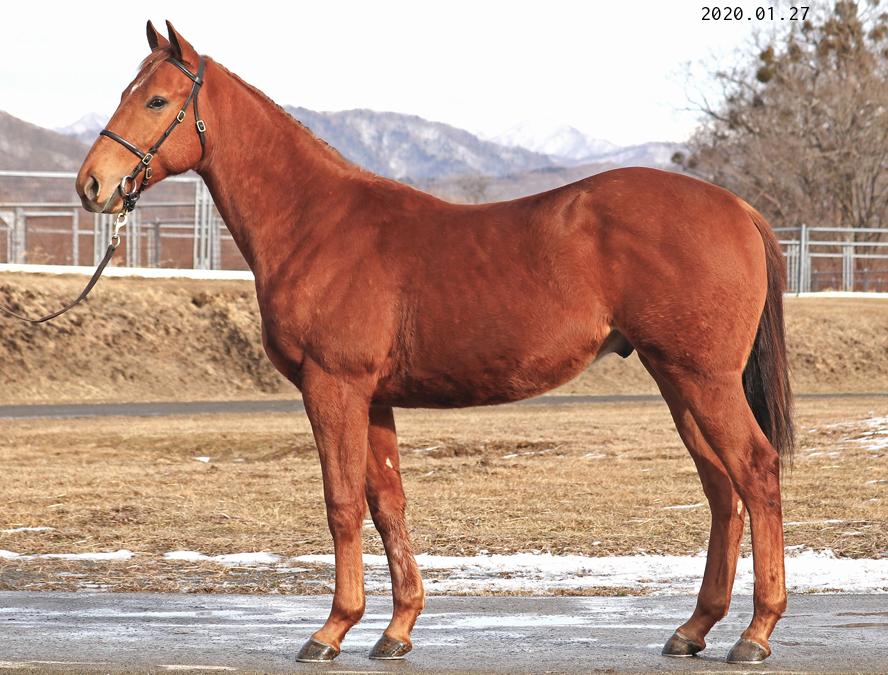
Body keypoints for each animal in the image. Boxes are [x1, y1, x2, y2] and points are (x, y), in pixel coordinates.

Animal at [75, 21, 794, 665]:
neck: (315, 222)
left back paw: (756, 632)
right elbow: (387, 503)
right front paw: (396, 628)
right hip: (678, 379)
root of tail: (737, 208)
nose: (92, 185)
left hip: (703, 378)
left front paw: (331, 630)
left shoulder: (333, 387)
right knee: (721, 487)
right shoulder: (373, 399)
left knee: (756, 471)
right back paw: (694, 628)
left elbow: (342, 504)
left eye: (156, 100)